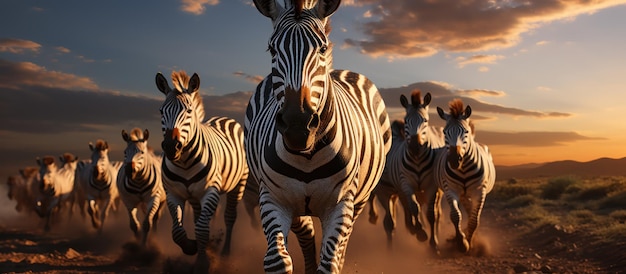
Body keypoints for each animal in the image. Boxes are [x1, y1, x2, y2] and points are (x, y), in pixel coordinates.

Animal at [154, 70, 249, 272]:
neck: (184, 162)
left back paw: (225, 253)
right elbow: (177, 231)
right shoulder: (173, 193)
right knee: (199, 217)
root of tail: (225, 118)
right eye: (161, 111)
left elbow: (202, 229)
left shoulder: (210, 191)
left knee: (230, 217)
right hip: (195, 197)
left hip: (239, 183)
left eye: (189, 111)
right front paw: (192, 247)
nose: (171, 146)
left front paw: (202, 263)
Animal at [244, 1, 390, 272]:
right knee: (307, 234)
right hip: (296, 205)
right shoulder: (272, 198)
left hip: (359, 201)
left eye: (322, 47)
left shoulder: (341, 203)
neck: (307, 157)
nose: (297, 126)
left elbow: (330, 261)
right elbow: (277, 259)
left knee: (338, 248)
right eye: (272, 49)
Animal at [368, 90, 446, 253]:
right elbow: (412, 209)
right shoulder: (403, 185)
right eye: (406, 120)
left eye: (425, 120)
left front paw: (433, 244)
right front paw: (420, 232)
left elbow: (431, 215)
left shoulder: (431, 187)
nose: (415, 147)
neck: (417, 160)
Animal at [432, 98, 494, 253]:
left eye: (466, 132)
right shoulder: (450, 189)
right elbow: (455, 216)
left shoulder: (479, 191)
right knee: (467, 209)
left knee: (472, 212)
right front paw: (462, 243)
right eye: (444, 132)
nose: (454, 160)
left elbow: (474, 220)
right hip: (462, 194)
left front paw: (470, 242)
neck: (464, 168)